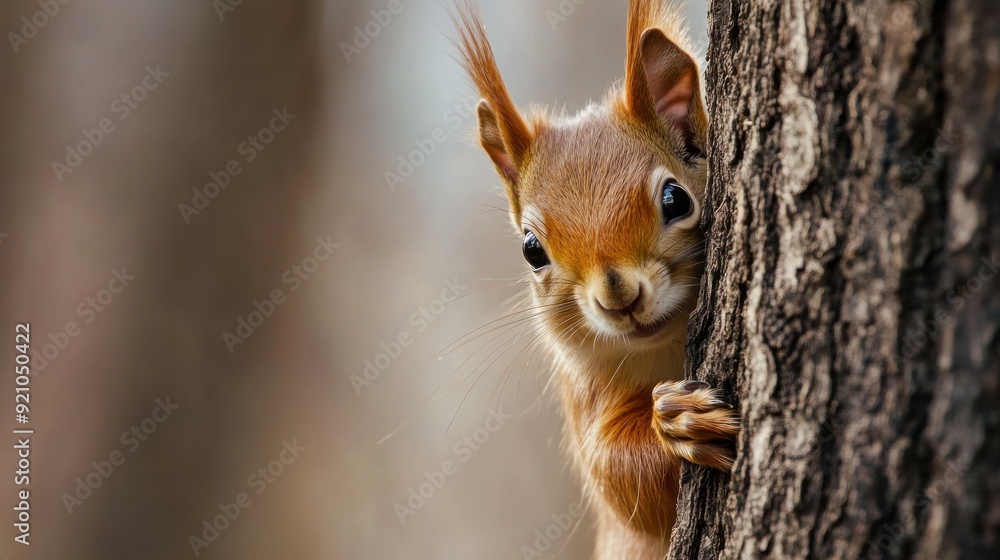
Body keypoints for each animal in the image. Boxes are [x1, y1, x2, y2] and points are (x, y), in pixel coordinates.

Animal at [452, 1, 740, 558]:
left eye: (676, 199)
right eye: (531, 250)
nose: (618, 296)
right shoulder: (585, 393)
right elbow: (617, 478)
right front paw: (678, 423)